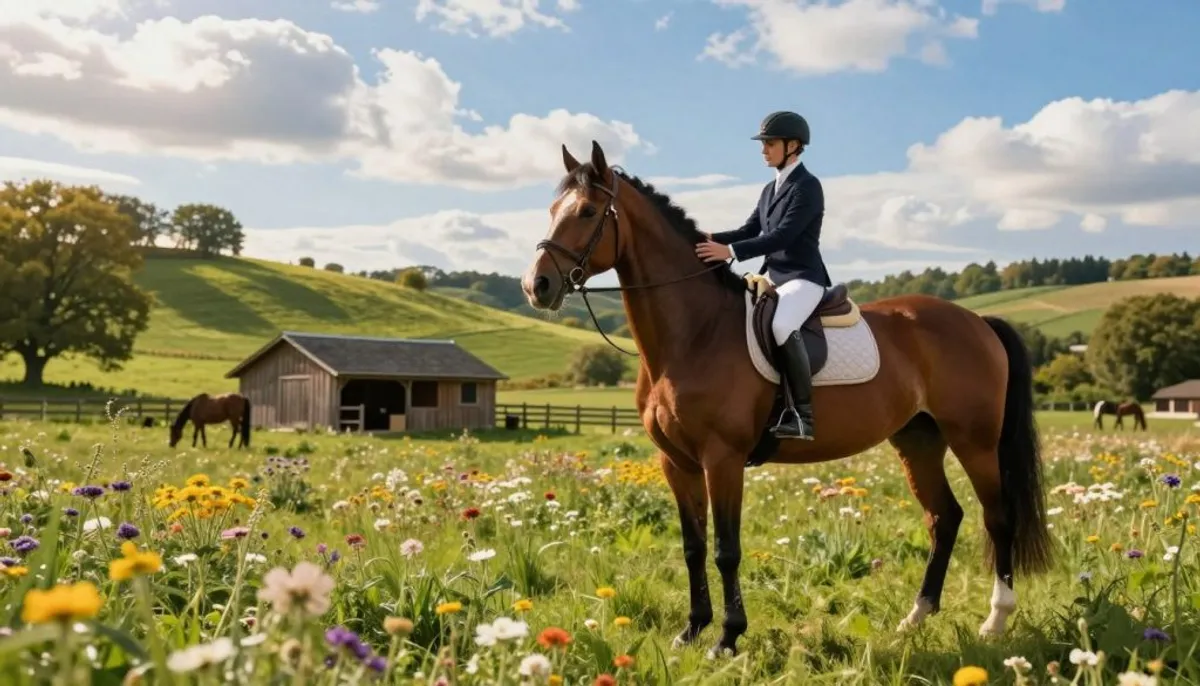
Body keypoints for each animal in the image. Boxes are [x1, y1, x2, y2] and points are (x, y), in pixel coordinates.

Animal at [520, 141, 1053, 658]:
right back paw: (915, 617)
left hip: (974, 441)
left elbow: (726, 549)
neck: (694, 333)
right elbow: (693, 548)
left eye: (588, 211)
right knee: (945, 517)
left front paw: (727, 638)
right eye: (551, 209)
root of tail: (978, 321)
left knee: (997, 517)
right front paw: (691, 631)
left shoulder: (722, 458)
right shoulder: (677, 462)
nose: (536, 285)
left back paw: (995, 620)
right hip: (918, 441)